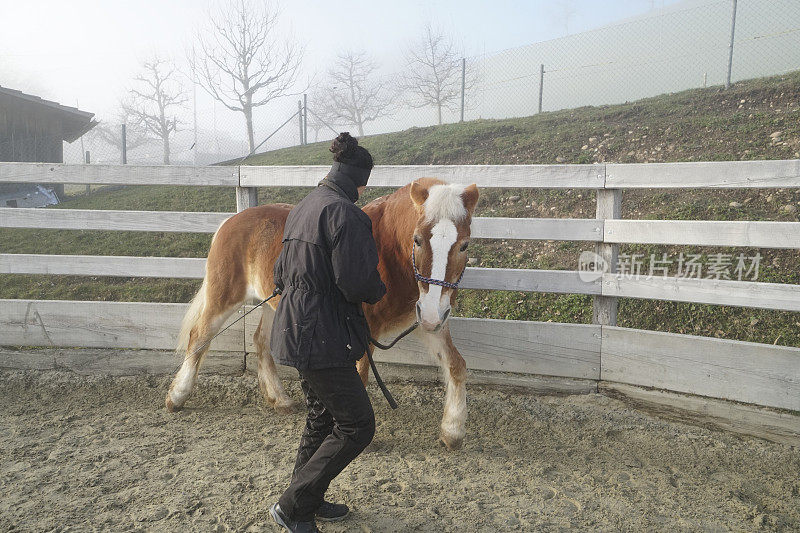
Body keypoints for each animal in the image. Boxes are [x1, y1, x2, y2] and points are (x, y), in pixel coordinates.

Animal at [166, 177, 478, 446]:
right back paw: (177, 397)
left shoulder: (425, 320)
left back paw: (279, 400)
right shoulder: (366, 330)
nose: (433, 312)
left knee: (260, 342)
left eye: (464, 245)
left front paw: (452, 431)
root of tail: (230, 221)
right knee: (200, 336)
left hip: (274, 304)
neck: (387, 253)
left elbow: (455, 364)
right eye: (417, 240)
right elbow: (361, 376)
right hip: (224, 296)